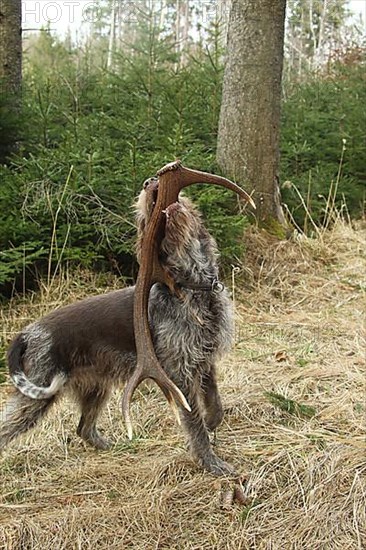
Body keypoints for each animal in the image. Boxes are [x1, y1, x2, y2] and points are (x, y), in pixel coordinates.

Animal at [0, 187, 234, 478]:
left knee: (84, 429)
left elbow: (214, 404)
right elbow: (194, 423)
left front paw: (213, 422)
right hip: (37, 395)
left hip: (96, 388)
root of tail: (28, 333)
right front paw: (211, 463)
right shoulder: (179, 374)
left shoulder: (203, 360)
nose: (152, 187)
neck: (192, 287)